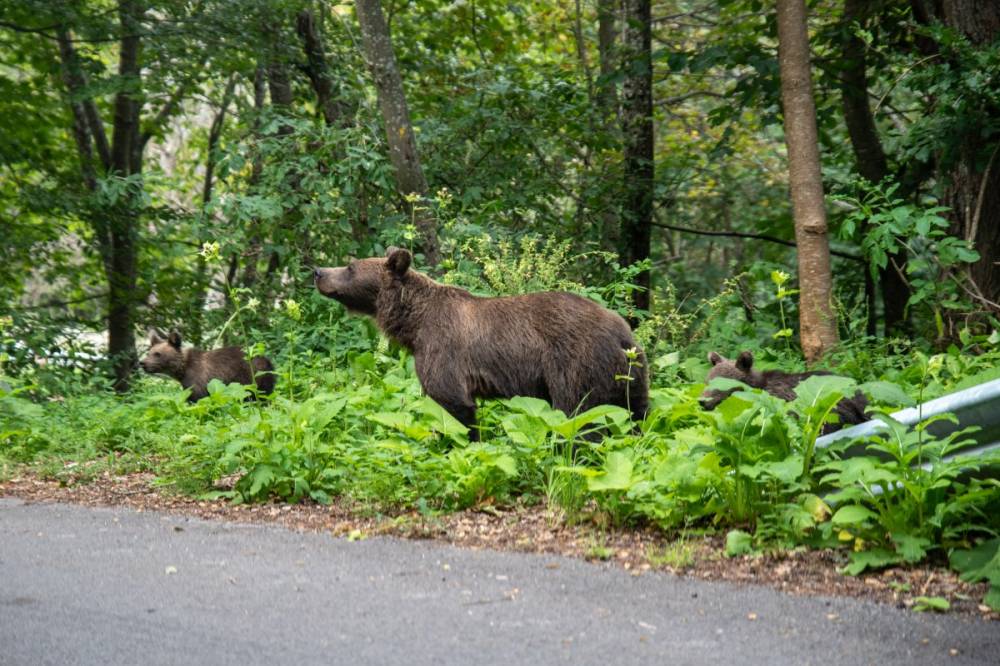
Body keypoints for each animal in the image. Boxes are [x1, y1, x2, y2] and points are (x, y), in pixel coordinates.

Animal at [139, 328, 276, 400]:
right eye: (149, 352)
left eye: (158, 354)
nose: (142, 363)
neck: (182, 370)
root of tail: (267, 360)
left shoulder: (197, 380)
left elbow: (198, 398)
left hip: (251, 377)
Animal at [316, 246, 652, 438]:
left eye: (350, 267)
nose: (318, 271)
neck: (414, 322)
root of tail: (622, 330)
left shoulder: (443, 349)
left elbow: (451, 405)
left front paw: (455, 441)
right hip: (629, 372)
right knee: (635, 413)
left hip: (574, 362)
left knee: (578, 413)